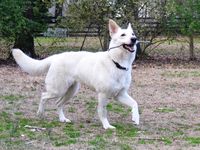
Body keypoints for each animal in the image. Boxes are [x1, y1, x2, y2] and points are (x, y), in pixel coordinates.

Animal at [11, 19, 139, 129]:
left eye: (132, 34)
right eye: (123, 35)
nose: (134, 39)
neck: (117, 63)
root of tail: (56, 56)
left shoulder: (120, 95)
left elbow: (135, 103)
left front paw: (135, 118)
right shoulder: (103, 95)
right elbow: (103, 112)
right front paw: (106, 126)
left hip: (71, 92)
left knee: (58, 103)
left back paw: (62, 119)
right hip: (58, 90)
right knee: (43, 96)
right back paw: (40, 113)